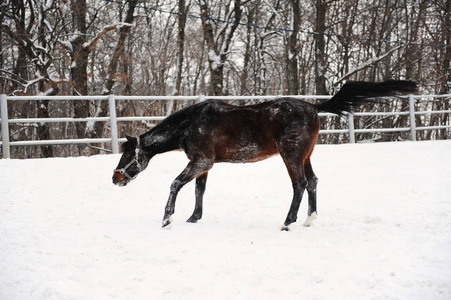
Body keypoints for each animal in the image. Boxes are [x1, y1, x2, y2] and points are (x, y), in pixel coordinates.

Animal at [112, 79, 416, 230]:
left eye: (127, 155)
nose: (115, 179)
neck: (191, 124)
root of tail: (314, 107)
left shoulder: (200, 161)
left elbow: (175, 184)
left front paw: (167, 219)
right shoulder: (205, 164)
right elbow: (199, 190)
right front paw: (193, 218)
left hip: (290, 155)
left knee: (299, 184)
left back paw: (288, 222)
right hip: (305, 155)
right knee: (313, 182)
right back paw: (309, 219)